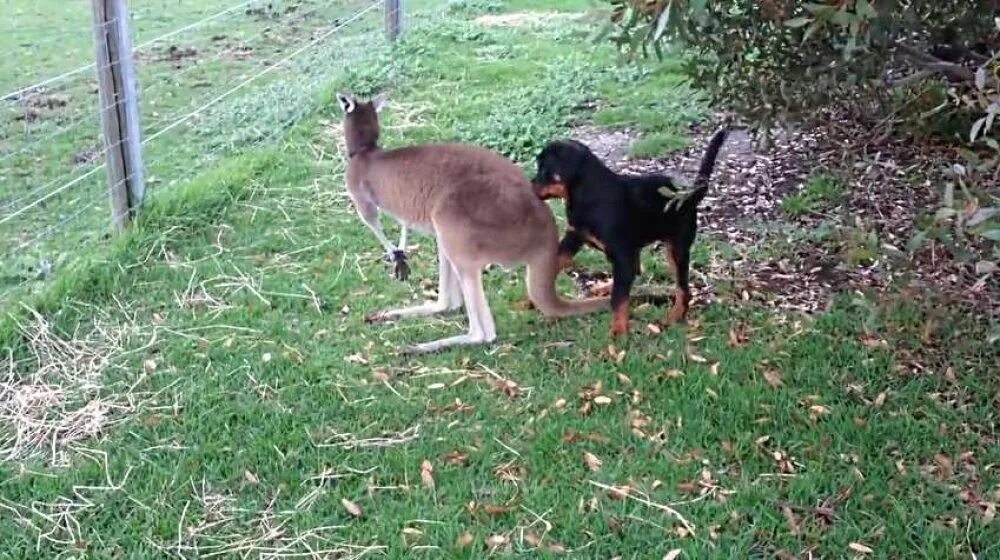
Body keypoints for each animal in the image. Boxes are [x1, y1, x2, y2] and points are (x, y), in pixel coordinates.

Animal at [528, 128, 732, 336]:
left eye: (544, 170)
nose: (529, 184)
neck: (586, 196)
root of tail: (689, 194)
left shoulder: (621, 254)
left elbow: (619, 298)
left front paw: (618, 332)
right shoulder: (573, 237)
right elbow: (554, 263)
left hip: (677, 248)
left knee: (682, 289)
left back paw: (675, 316)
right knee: (636, 270)